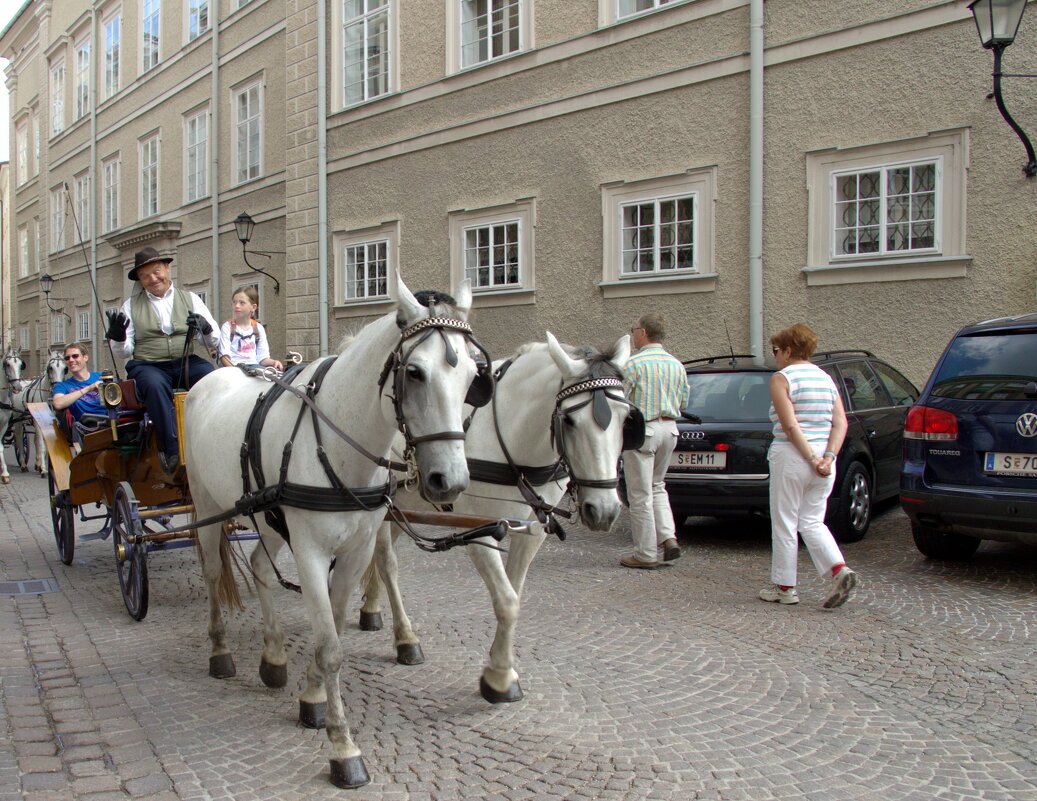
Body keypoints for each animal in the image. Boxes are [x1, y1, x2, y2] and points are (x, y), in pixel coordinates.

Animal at [185, 280, 477, 788]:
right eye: (415, 372)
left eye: (475, 376)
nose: (451, 481)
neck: (339, 444)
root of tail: (211, 379)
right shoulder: (311, 553)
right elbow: (331, 647)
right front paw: (343, 747)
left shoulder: (356, 552)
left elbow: (335, 631)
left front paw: (313, 698)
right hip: (207, 507)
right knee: (212, 574)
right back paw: (220, 653)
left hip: (264, 515)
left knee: (260, 567)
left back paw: (274, 658)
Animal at [356, 332, 634, 701]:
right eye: (570, 421)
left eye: (626, 418)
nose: (604, 510)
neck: (515, 445)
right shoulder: (480, 530)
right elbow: (506, 601)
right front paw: (500, 678)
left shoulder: (532, 531)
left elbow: (514, 592)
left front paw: (500, 660)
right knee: (388, 563)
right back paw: (405, 638)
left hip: (403, 501)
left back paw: (372, 609)